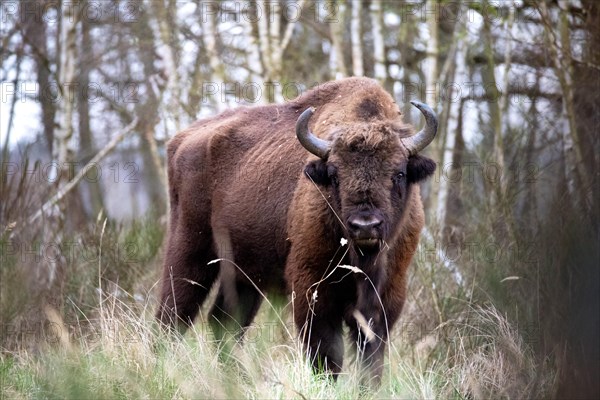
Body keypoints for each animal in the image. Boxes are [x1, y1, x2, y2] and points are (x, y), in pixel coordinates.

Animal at [155, 77, 436, 384]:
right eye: (334, 175)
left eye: (399, 173)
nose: (365, 225)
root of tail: (181, 140)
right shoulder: (312, 289)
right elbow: (326, 353)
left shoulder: (387, 295)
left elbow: (370, 358)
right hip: (190, 251)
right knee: (174, 314)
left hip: (246, 273)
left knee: (224, 322)